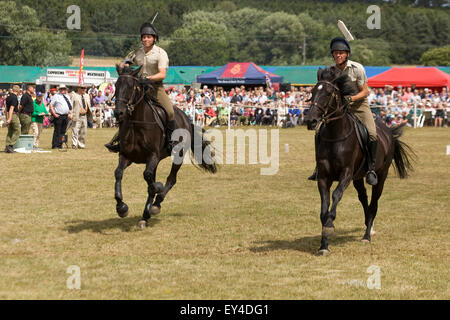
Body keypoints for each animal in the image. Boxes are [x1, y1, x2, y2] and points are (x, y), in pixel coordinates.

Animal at [112, 65, 218, 228]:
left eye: (131, 87)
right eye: (116, 85)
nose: (118, 112)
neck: (137, 124)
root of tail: (186, 118)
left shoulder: (152, 156)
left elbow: (150, 180)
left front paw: (157, 189)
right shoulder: (126, 156)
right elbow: (118, 173)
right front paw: (121, 207)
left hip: (177, 155)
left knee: (171, 179)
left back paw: (156, 205)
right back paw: (145, 215)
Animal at [304, 67, 414, 255]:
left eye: (328, 93)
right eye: (312, 92)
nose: (311, 120)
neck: (335, 135)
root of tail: (388, 132)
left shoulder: (346, 174)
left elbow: (336, 196)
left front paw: (329, 226)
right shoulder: (324, 177)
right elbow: (324, 209)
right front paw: (324, 245)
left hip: (380, 176)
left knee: (374, 202)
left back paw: (367, 235)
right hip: (358, 178)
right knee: (363, 198)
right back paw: (368, 225)